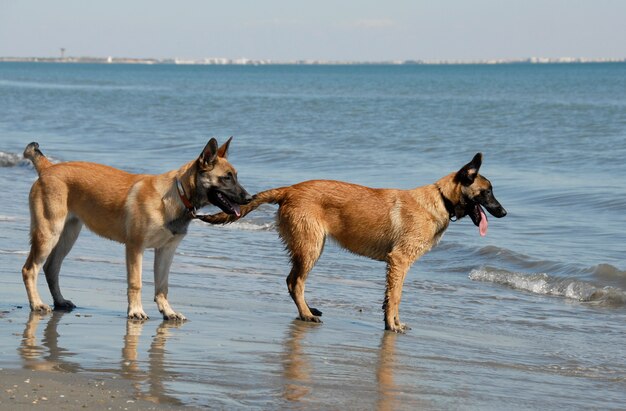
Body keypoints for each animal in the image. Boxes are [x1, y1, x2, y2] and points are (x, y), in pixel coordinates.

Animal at [22, 140, 251, 320]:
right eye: (227, 177)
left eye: (236, 176)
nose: (249, 198)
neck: (177, 194)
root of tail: (48, 168)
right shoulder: (135, 248)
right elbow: (136, 282)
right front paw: (135, 311)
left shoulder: (166, 251)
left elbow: (162, 286)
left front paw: (168, 311)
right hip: (49, 234)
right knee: (30, 269)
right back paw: (37, 303)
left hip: (67, 236)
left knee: (51, 268)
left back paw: (59, 301)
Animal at [205, 153, 508, 334]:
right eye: (487, 192)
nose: (504, 212)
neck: (441, 199)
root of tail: (290, 189)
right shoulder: (399, 261)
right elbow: (396, 297)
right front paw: (393, 326)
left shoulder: (396, 265)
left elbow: (389, 298)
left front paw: (391, 322)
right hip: (311, 247)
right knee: (295, 282)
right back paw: (307, 315)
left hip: (309, 246)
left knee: (292, 281)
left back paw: (309, 310)